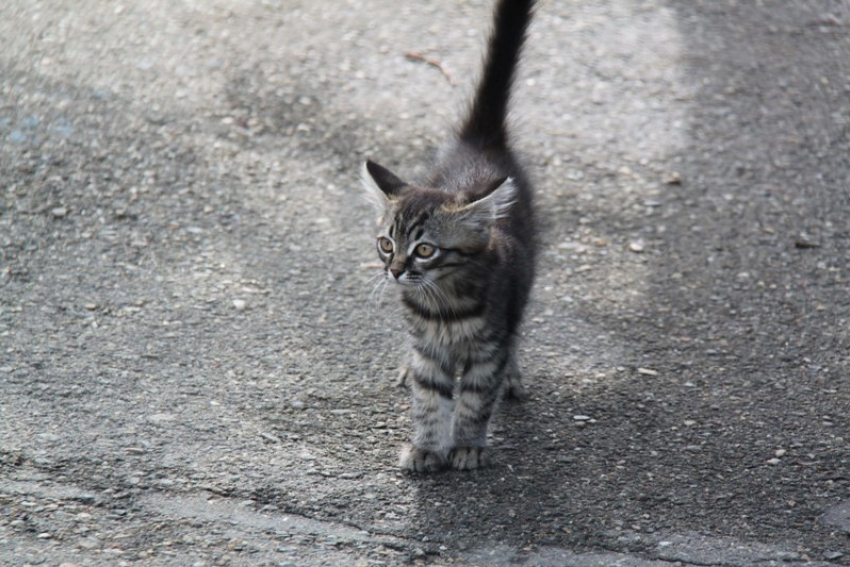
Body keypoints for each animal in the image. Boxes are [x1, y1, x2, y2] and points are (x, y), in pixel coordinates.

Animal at [360, 0, 532, 472]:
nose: (396, 272)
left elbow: (475, 399)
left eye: (424, 250)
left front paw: (467, 445)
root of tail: (481, 141)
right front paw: (426, 446)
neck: (444, 306)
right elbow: (429, 398)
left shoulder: (487, 348)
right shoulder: (428, 350)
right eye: (387, 244)